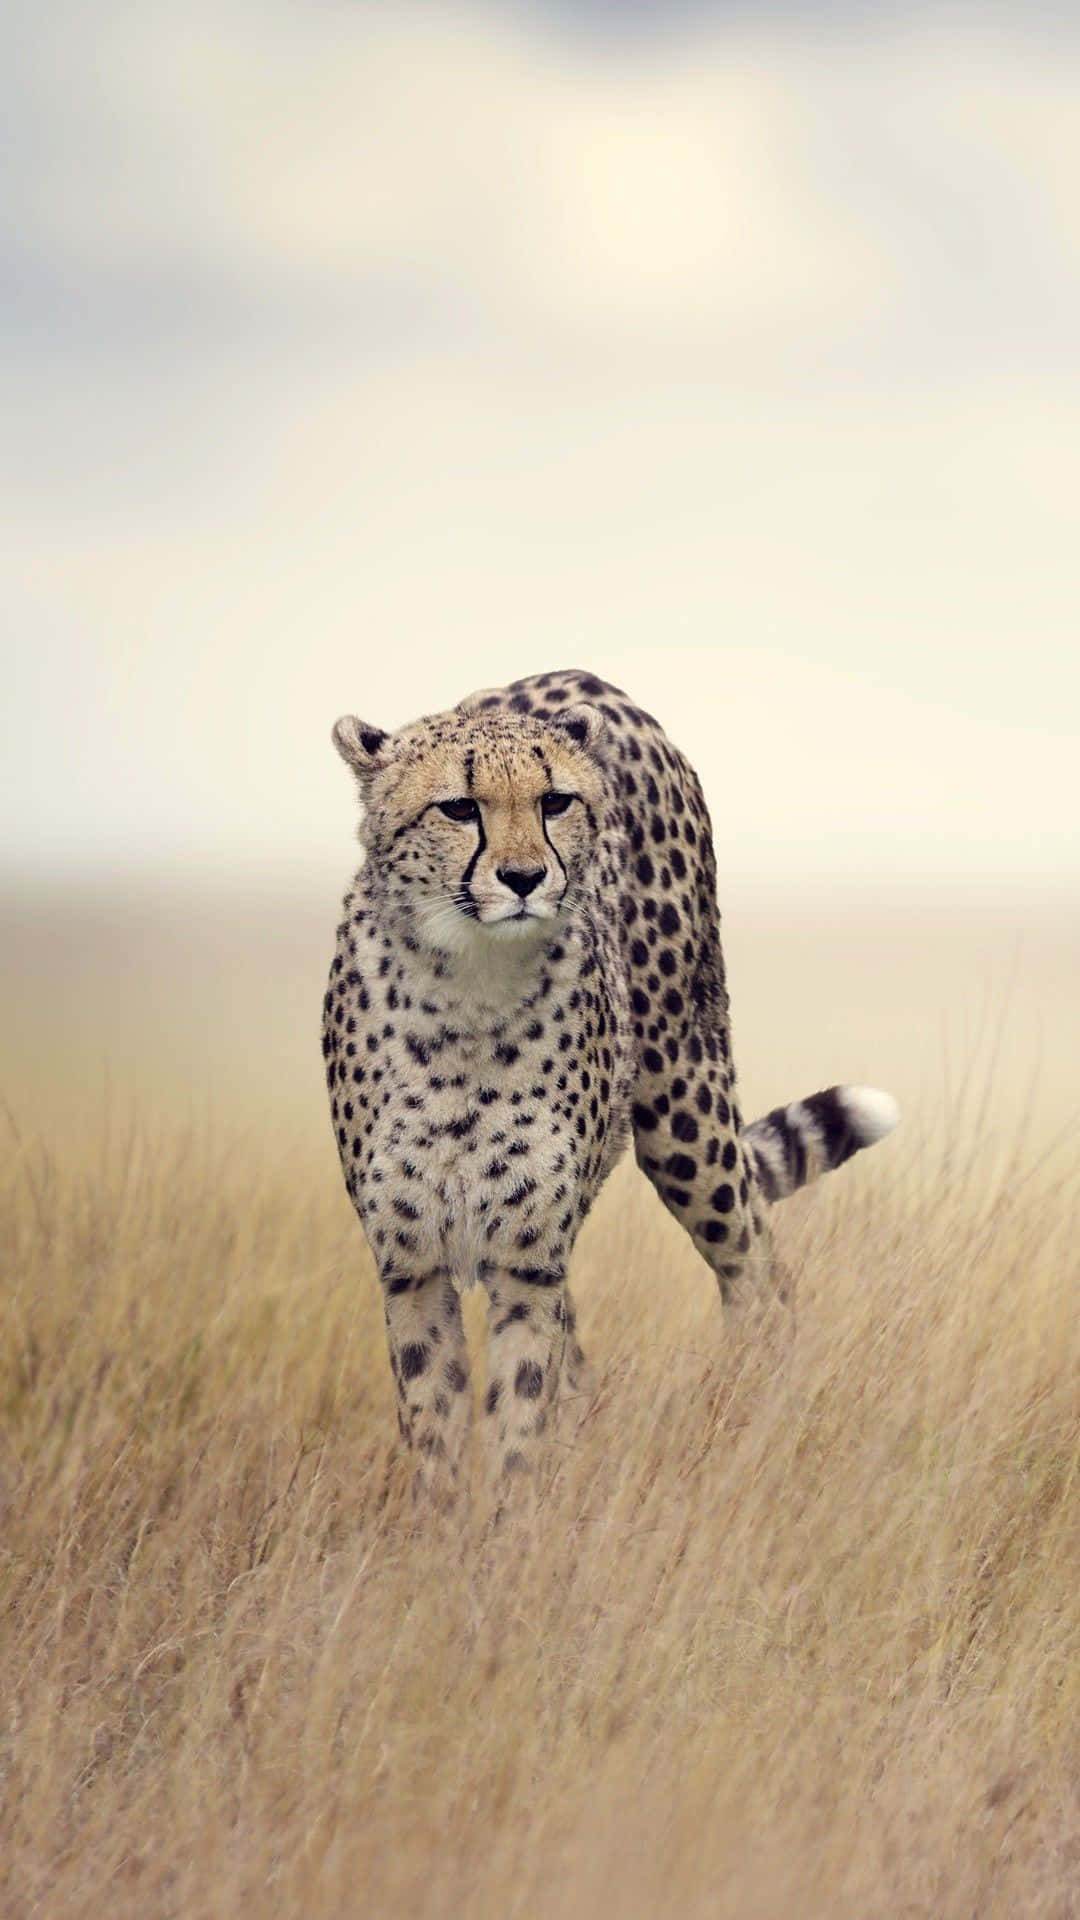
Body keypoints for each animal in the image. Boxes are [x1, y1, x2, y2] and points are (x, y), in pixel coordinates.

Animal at [322, 668, 899, 1502]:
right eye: (459, 807)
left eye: (555, 801)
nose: (525, 878)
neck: (470, 990)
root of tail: (585, 680)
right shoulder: (413, 1266)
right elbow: (437, 1430)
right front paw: (443, 1531)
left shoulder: (528, 1262)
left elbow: (521, 1415)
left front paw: (516, 1525)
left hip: (686, 1118)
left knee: (759, 1271)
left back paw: (758, 1418)